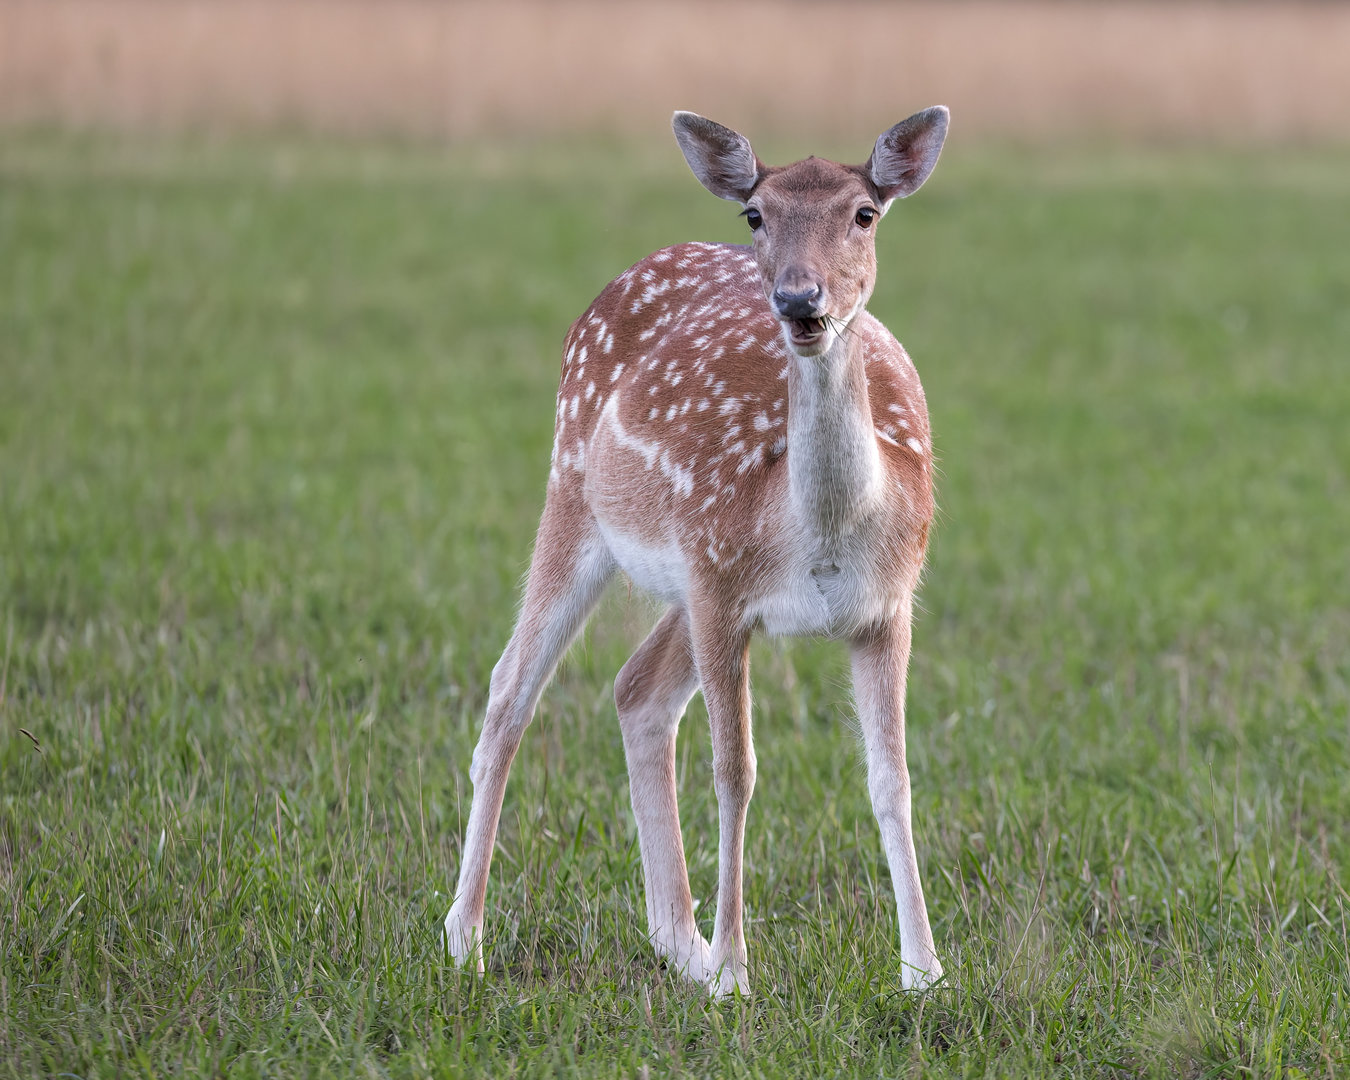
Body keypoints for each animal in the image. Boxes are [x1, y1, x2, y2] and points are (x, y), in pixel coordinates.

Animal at [443, 106, 951, 997]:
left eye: (865, 212)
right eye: (756, 215)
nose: (798, 297)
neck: (818, 530)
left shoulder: (886, 607)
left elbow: (893, 779)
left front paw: (925, 973)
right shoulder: (720, 591)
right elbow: (736, 772)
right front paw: (736, 974)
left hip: (679, 573)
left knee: (635, 688)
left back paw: (678, 941)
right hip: (575, 494)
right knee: (511, 690)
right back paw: (464, 937)